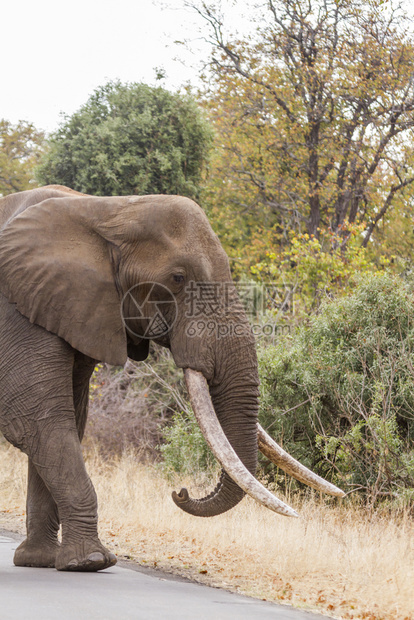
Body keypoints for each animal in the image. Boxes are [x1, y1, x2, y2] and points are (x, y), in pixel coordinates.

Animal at [0, 185, 342, 572]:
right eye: (177, 278)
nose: (180, 491)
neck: (105, 210)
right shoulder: (17, 309)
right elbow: (34, 420)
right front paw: (91, 562)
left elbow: (65, 420)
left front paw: (40, 561)